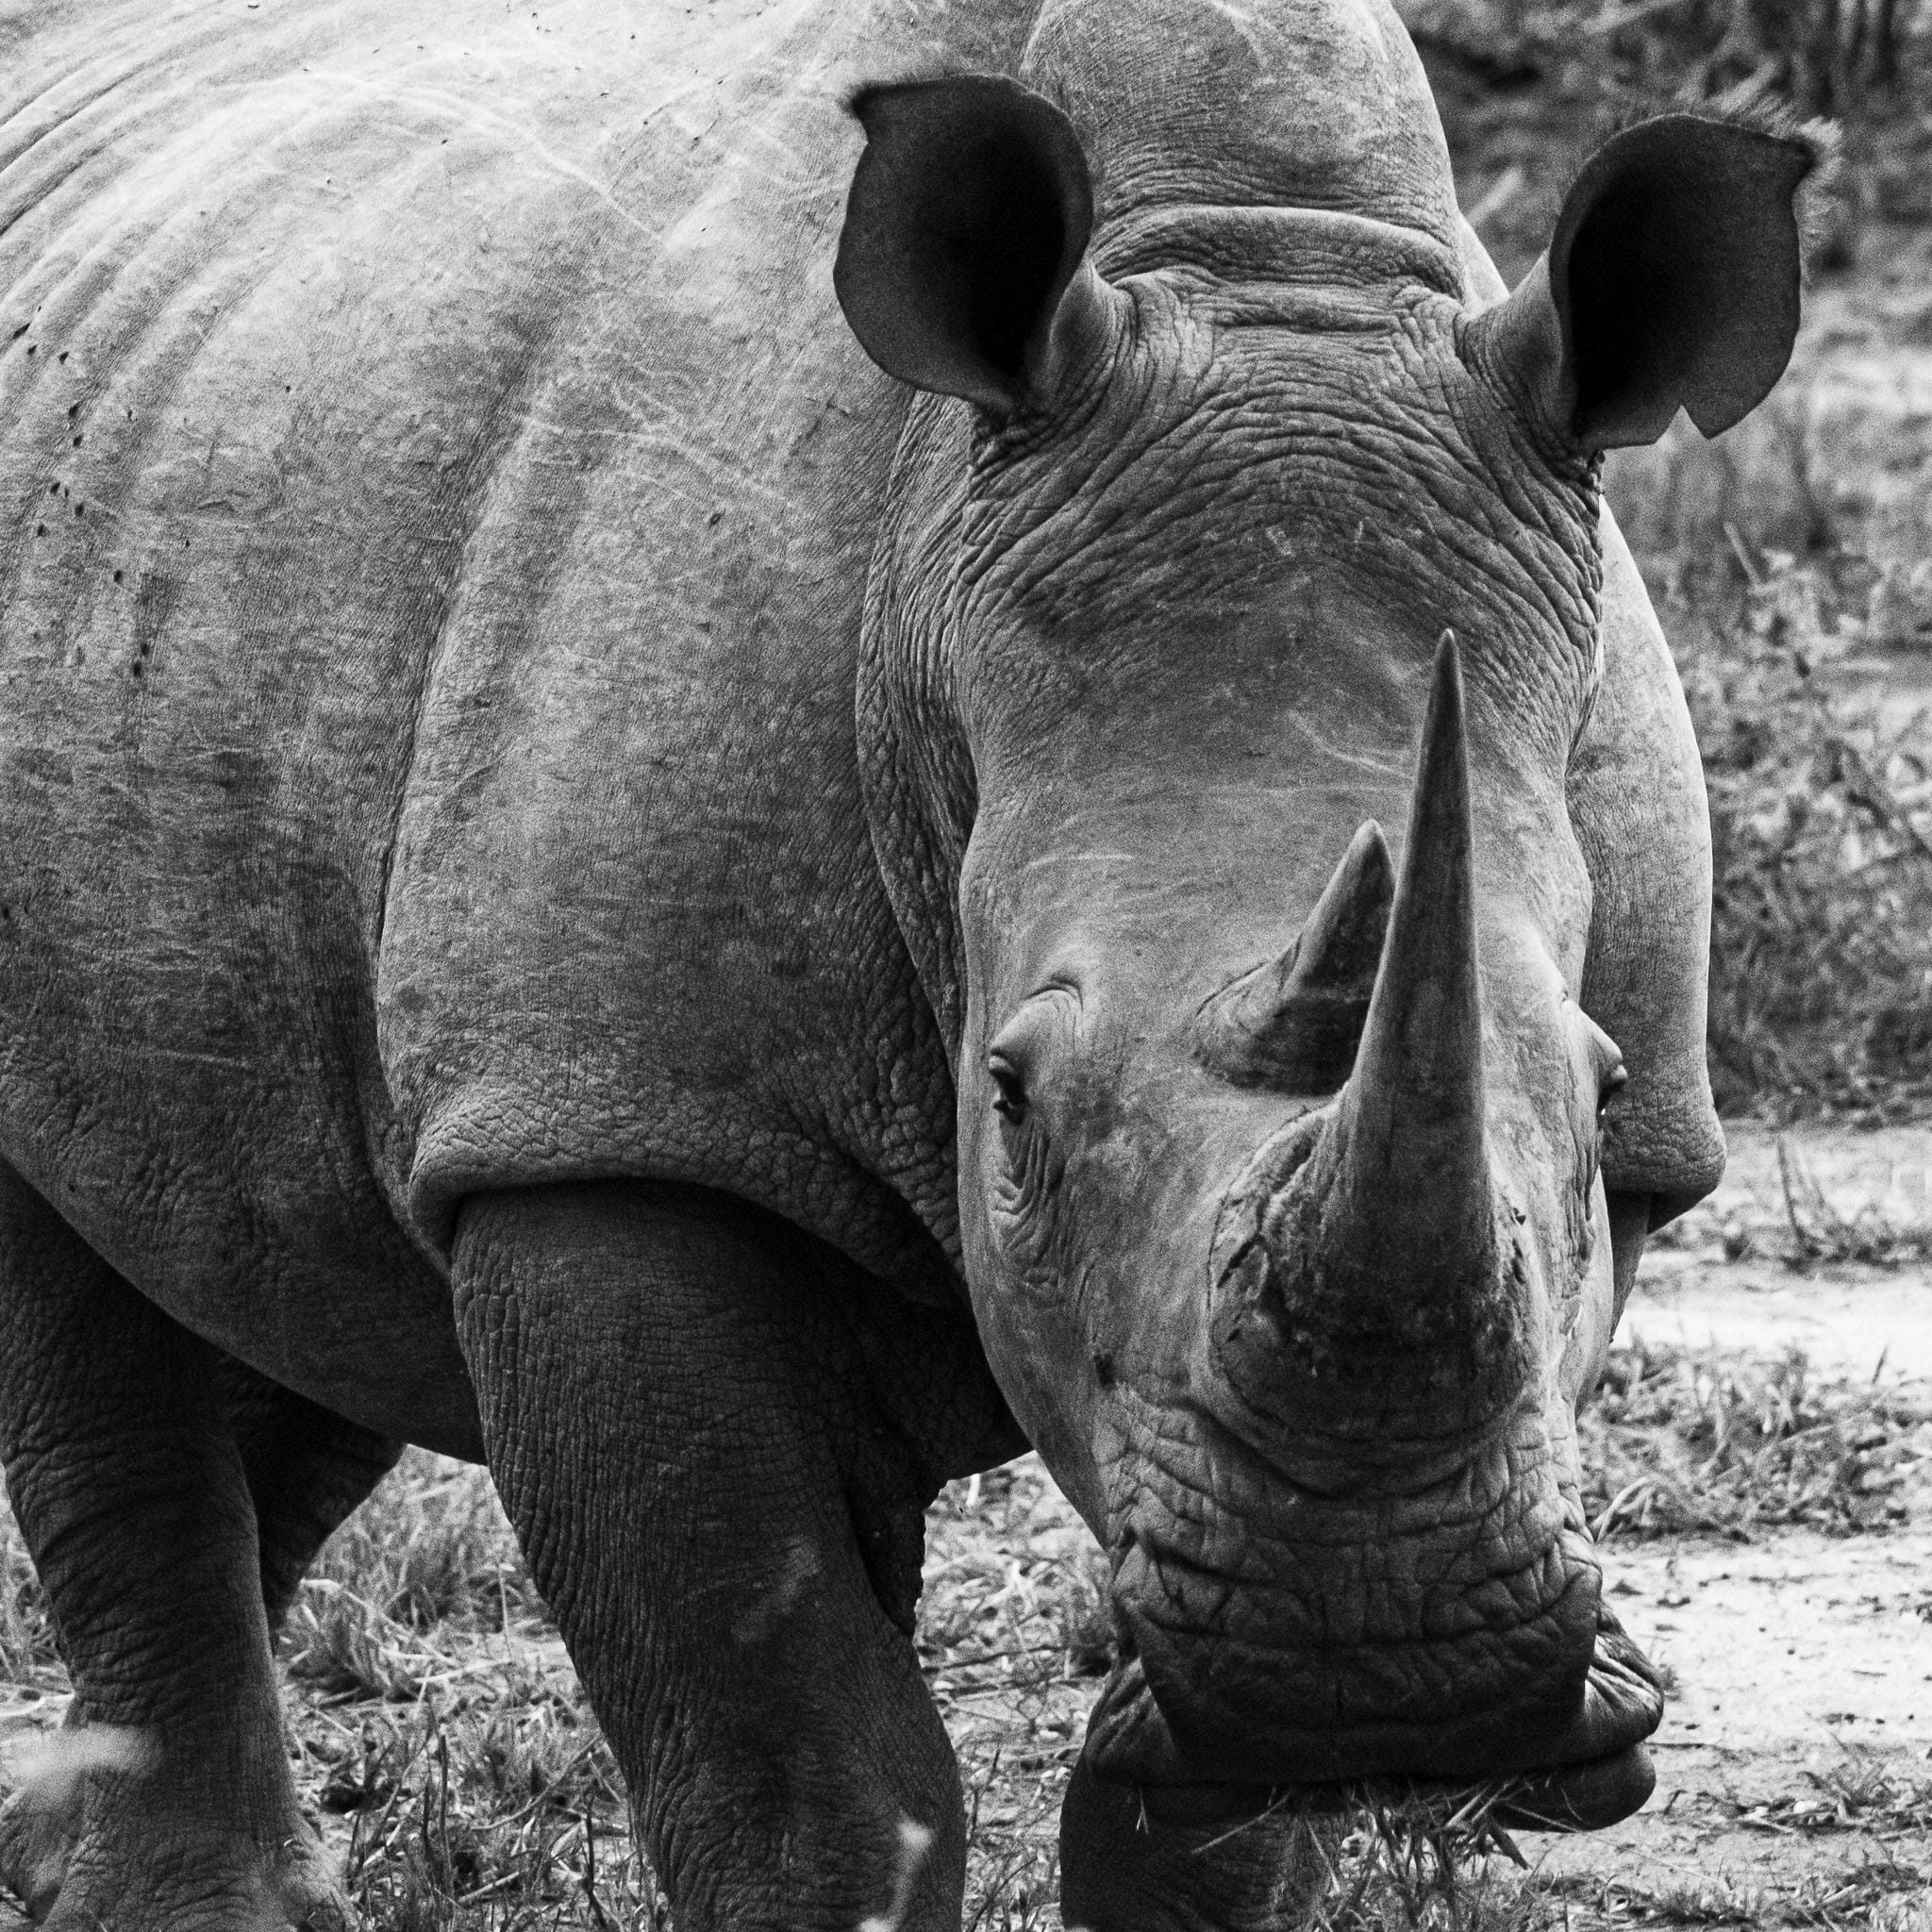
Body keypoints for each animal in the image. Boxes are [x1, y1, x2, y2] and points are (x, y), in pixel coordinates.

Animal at [0, 0, 1812, 1926]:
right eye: (1006, 1101)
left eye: (1600, 1099)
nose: (1397, 1678)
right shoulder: (616, 1121)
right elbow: (802, 1756)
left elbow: (1226, 1822)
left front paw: (1281, 1753)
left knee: (288, 1264)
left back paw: (53, 1835)